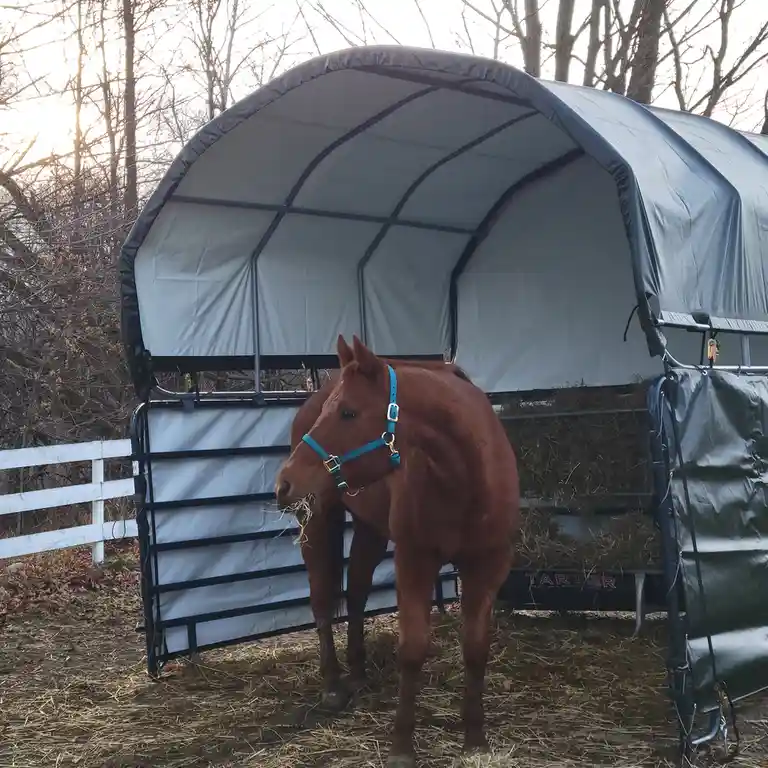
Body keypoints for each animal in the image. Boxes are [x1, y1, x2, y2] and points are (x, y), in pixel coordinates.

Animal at [277, 335, 521, 766]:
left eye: (348, 412)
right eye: (332, 411)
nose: (283, 483)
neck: (467, 477)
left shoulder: (488, 566)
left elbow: (476, 647)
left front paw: (475, 737)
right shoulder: (415, 562)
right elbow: (412, 649)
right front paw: (402, 746)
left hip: (371, 529)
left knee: (357, 588)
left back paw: (358, 672)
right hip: (318, 520)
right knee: (322, 597)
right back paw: (334, 685)